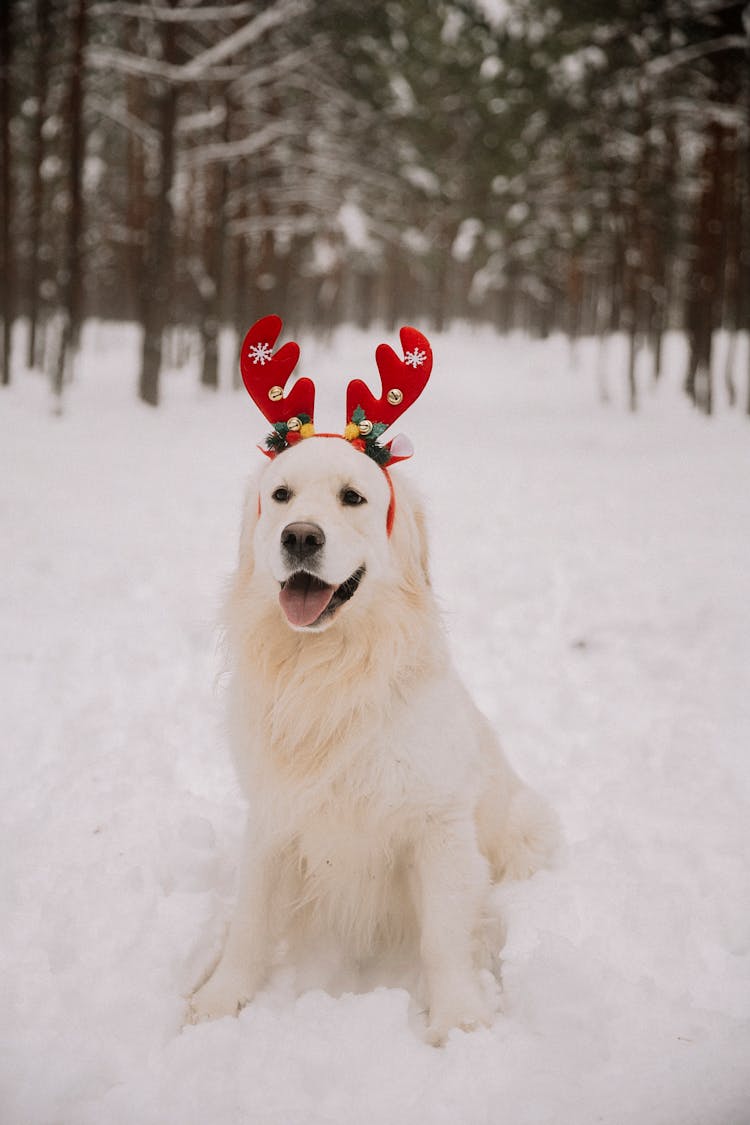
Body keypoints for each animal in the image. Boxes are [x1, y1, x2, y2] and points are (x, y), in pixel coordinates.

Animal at [191, 321, 559, 1039]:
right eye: (280, 496)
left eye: (353, 498)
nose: (300, 537)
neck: (328, 669)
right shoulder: (272, 814)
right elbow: (249, 921)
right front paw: (221, 999)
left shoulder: (438, 824)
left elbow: (444, 935)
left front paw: (461, 1020)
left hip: (529, 823)